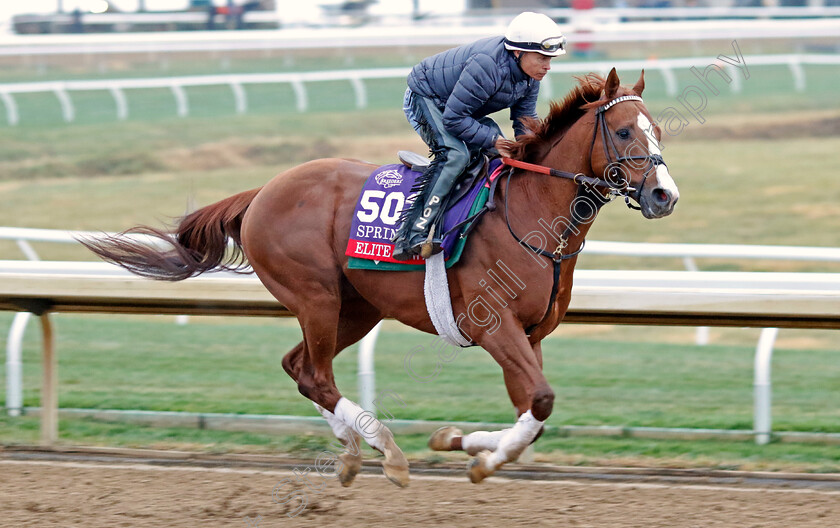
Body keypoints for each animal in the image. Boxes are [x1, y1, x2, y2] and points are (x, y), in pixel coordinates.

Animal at [83, 68, 676, 488]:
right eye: (624, 130)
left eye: (658, 132)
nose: (664, 195)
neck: (530, 212)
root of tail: (263, 191)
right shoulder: (491, 325)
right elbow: (542, 401)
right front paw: (474, 452)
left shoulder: (531, 334)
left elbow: (533, 409)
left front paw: (470, 449)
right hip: (315, 296)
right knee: (316, 375)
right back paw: (385, 451)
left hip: (357, 308)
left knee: (298, 367)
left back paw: (351, 451)